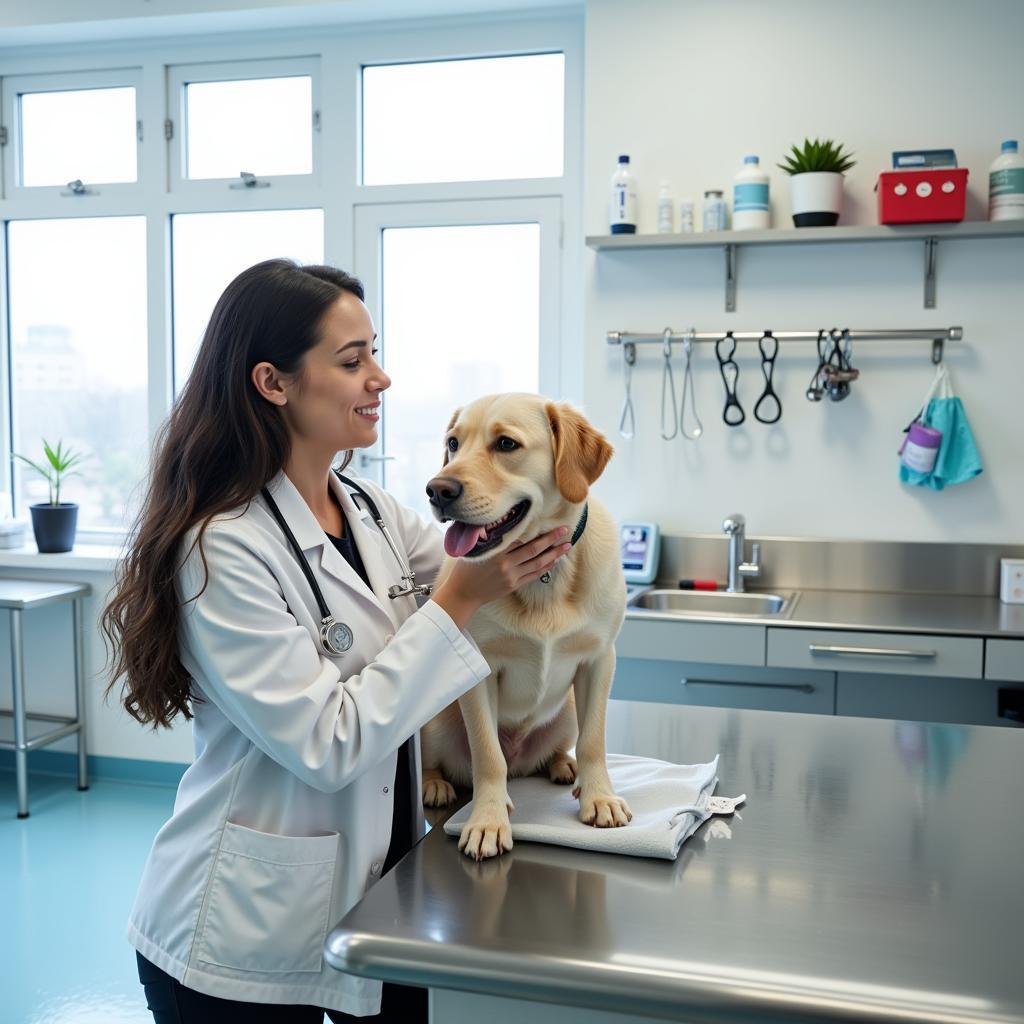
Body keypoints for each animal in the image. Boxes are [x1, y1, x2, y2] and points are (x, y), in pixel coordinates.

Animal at [417, 395, 626, 860]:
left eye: (506, 444)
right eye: (454, 443)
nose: (437, 490)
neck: (542, 580)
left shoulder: (599, 661)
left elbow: (595, 741)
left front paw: (599, 797)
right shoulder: (479, 670)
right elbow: (487, 756)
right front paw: (487, 820)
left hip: (567, 711)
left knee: (564, 745)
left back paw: (563, 766)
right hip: (436, 721)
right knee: (443, 760)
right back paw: (435, 784)